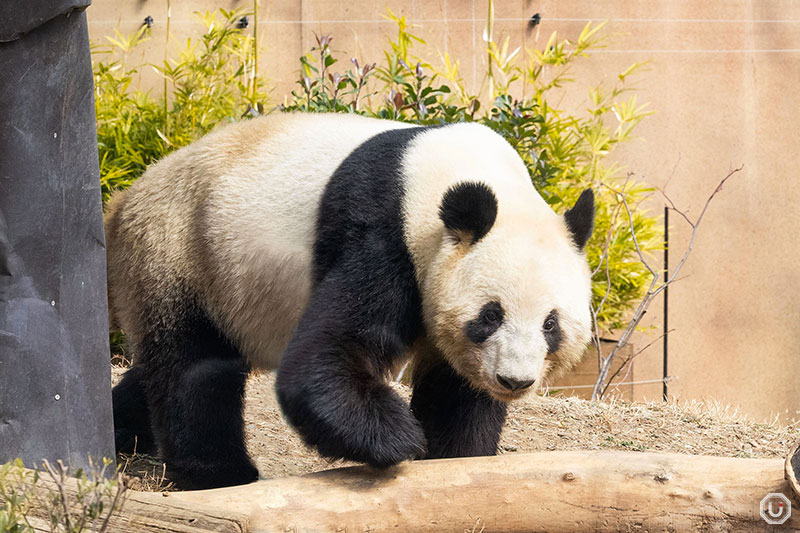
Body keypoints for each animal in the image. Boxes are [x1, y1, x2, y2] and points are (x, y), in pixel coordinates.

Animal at [104, 112, 592, 486]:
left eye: (551, 324)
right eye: (491, 315)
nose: (515, 381)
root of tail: (124, 199)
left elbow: (458, 392)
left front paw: (453, 458)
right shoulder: (384, 230)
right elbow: (326, 356)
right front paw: (399, 439)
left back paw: (124, 427)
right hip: (180, 247)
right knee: (193, 366)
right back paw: (219, 472)